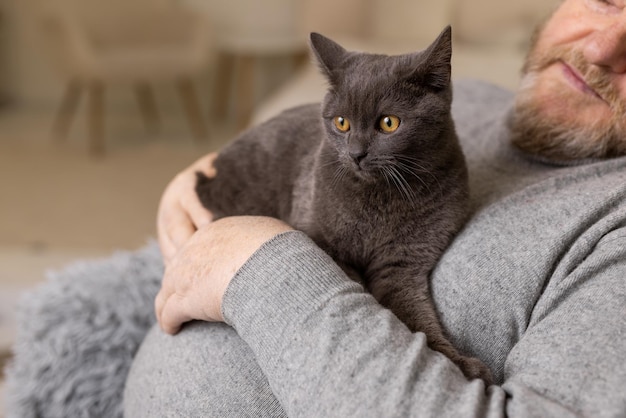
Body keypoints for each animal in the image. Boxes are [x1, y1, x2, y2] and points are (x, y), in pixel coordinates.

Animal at [197, 27, 490, 386]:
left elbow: (415, 316)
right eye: (341, 123)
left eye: (389, 123)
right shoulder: (325, 242)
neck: (382, 199)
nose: (356, 153)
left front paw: (457, 364)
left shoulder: (404, 263)